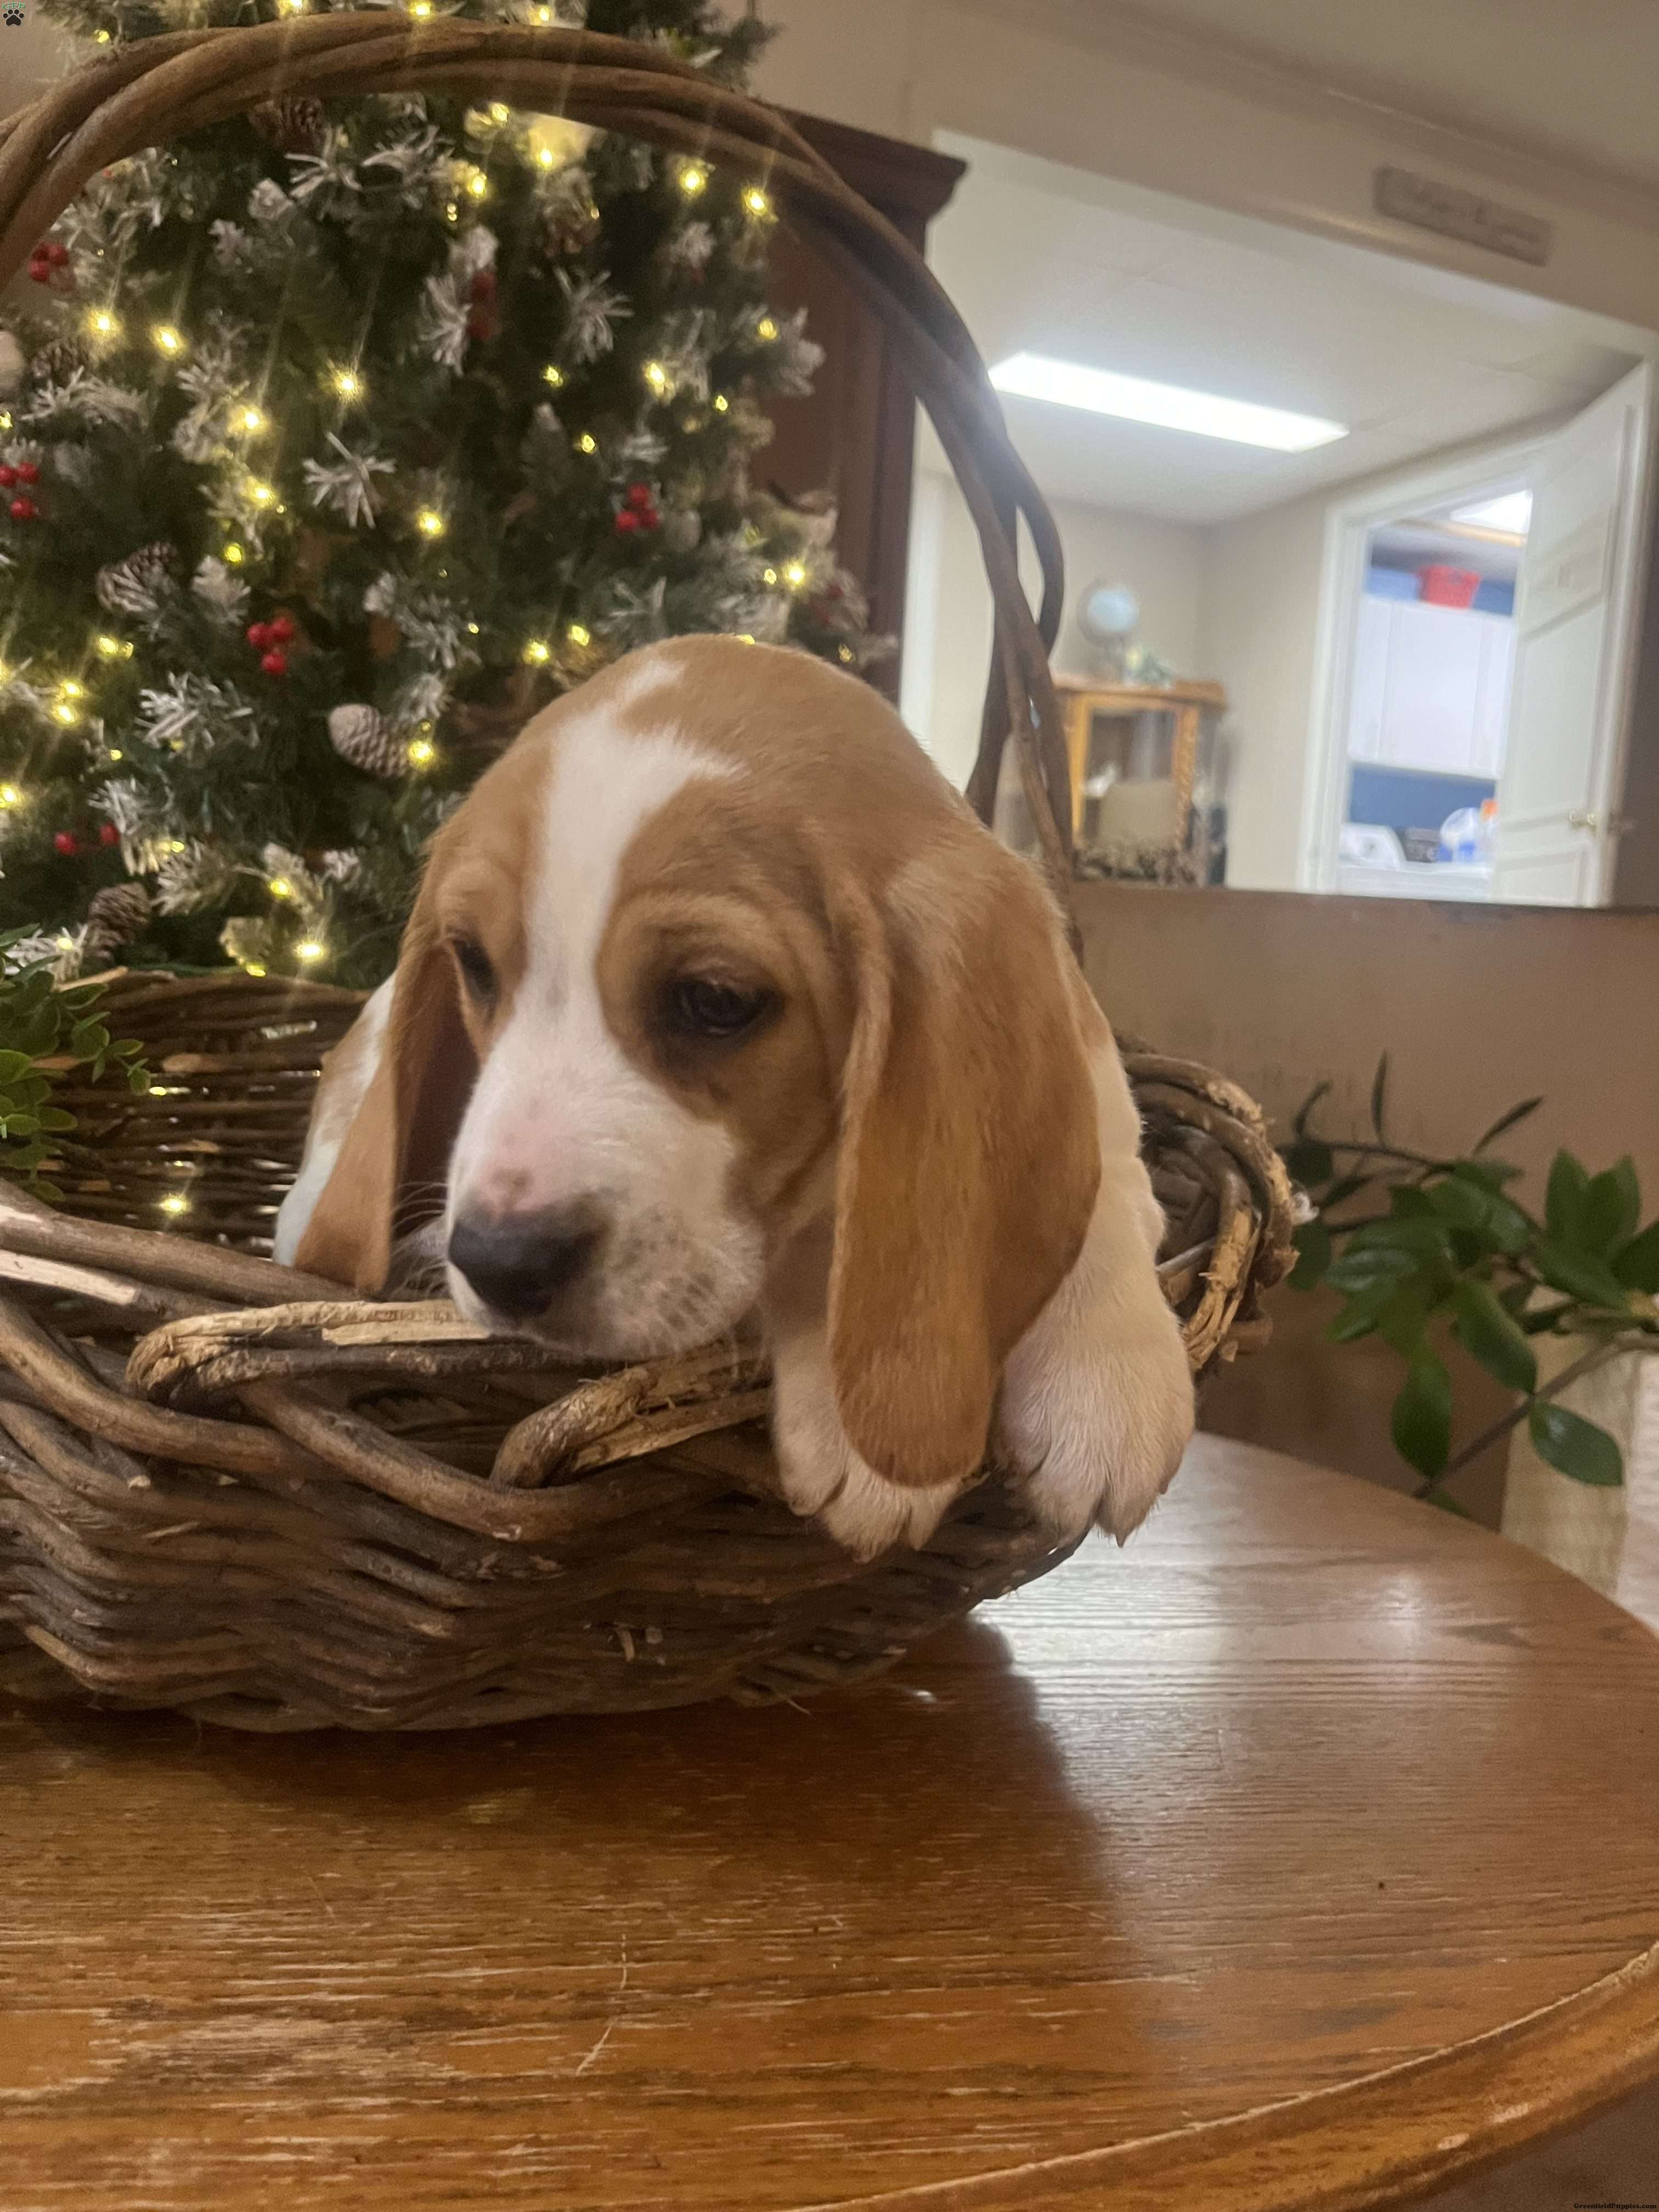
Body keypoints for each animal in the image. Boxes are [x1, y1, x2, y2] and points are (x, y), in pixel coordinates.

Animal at [274, 636, 1194, 1558]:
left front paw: (1106, 1381)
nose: (499, 1261)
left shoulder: (1091, 1079)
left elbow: (1092, 1185)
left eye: (715, 1000)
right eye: (471, 961)